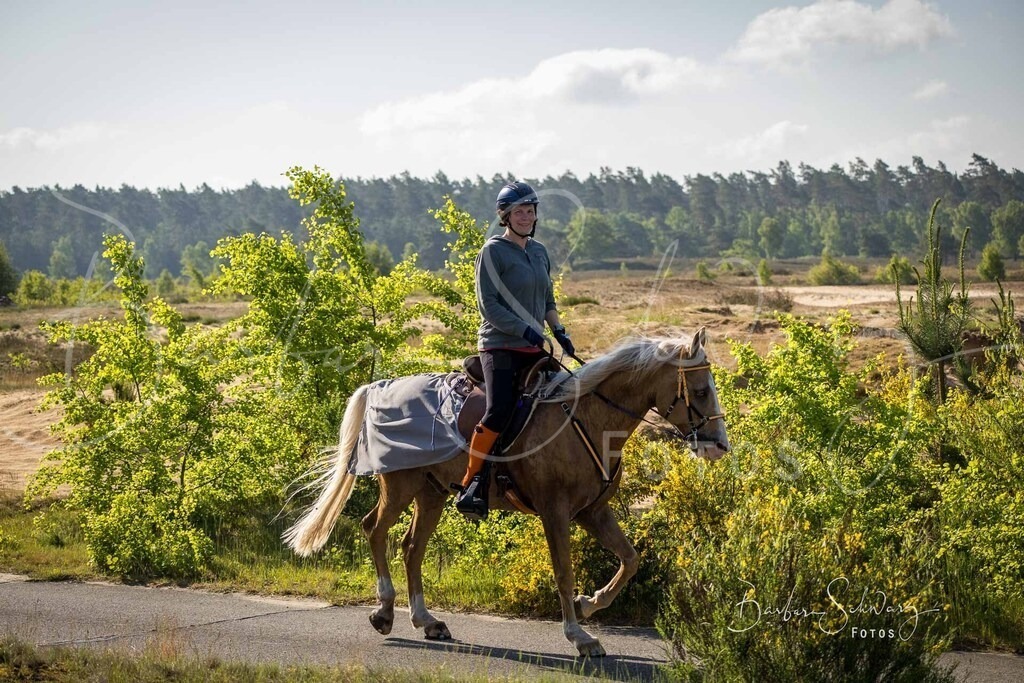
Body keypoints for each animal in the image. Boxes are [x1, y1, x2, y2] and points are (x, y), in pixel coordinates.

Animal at [284, 327, 730, 657]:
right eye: (701, 391)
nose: (719, 446)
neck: (587, 417)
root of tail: (378, 387)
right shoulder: (555, 511)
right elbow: (564, 572)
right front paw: (579, 636)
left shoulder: (593, 512)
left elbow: (630, 560)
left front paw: (588, 604)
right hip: (400, 485)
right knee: (374, 529)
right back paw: (384, 611)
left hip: (432, 494)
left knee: (412, 547)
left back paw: (427, 621)